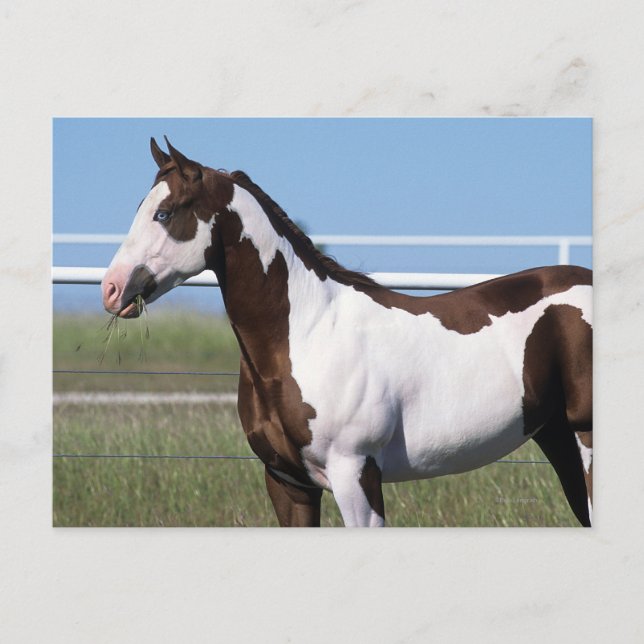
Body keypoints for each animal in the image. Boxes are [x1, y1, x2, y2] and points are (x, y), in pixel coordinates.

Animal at [101, 137, 593, 527]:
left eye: (164, 213)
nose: (112, 288)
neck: (307, 335)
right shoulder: (288, 483)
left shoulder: (355, 473)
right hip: (560, 441)